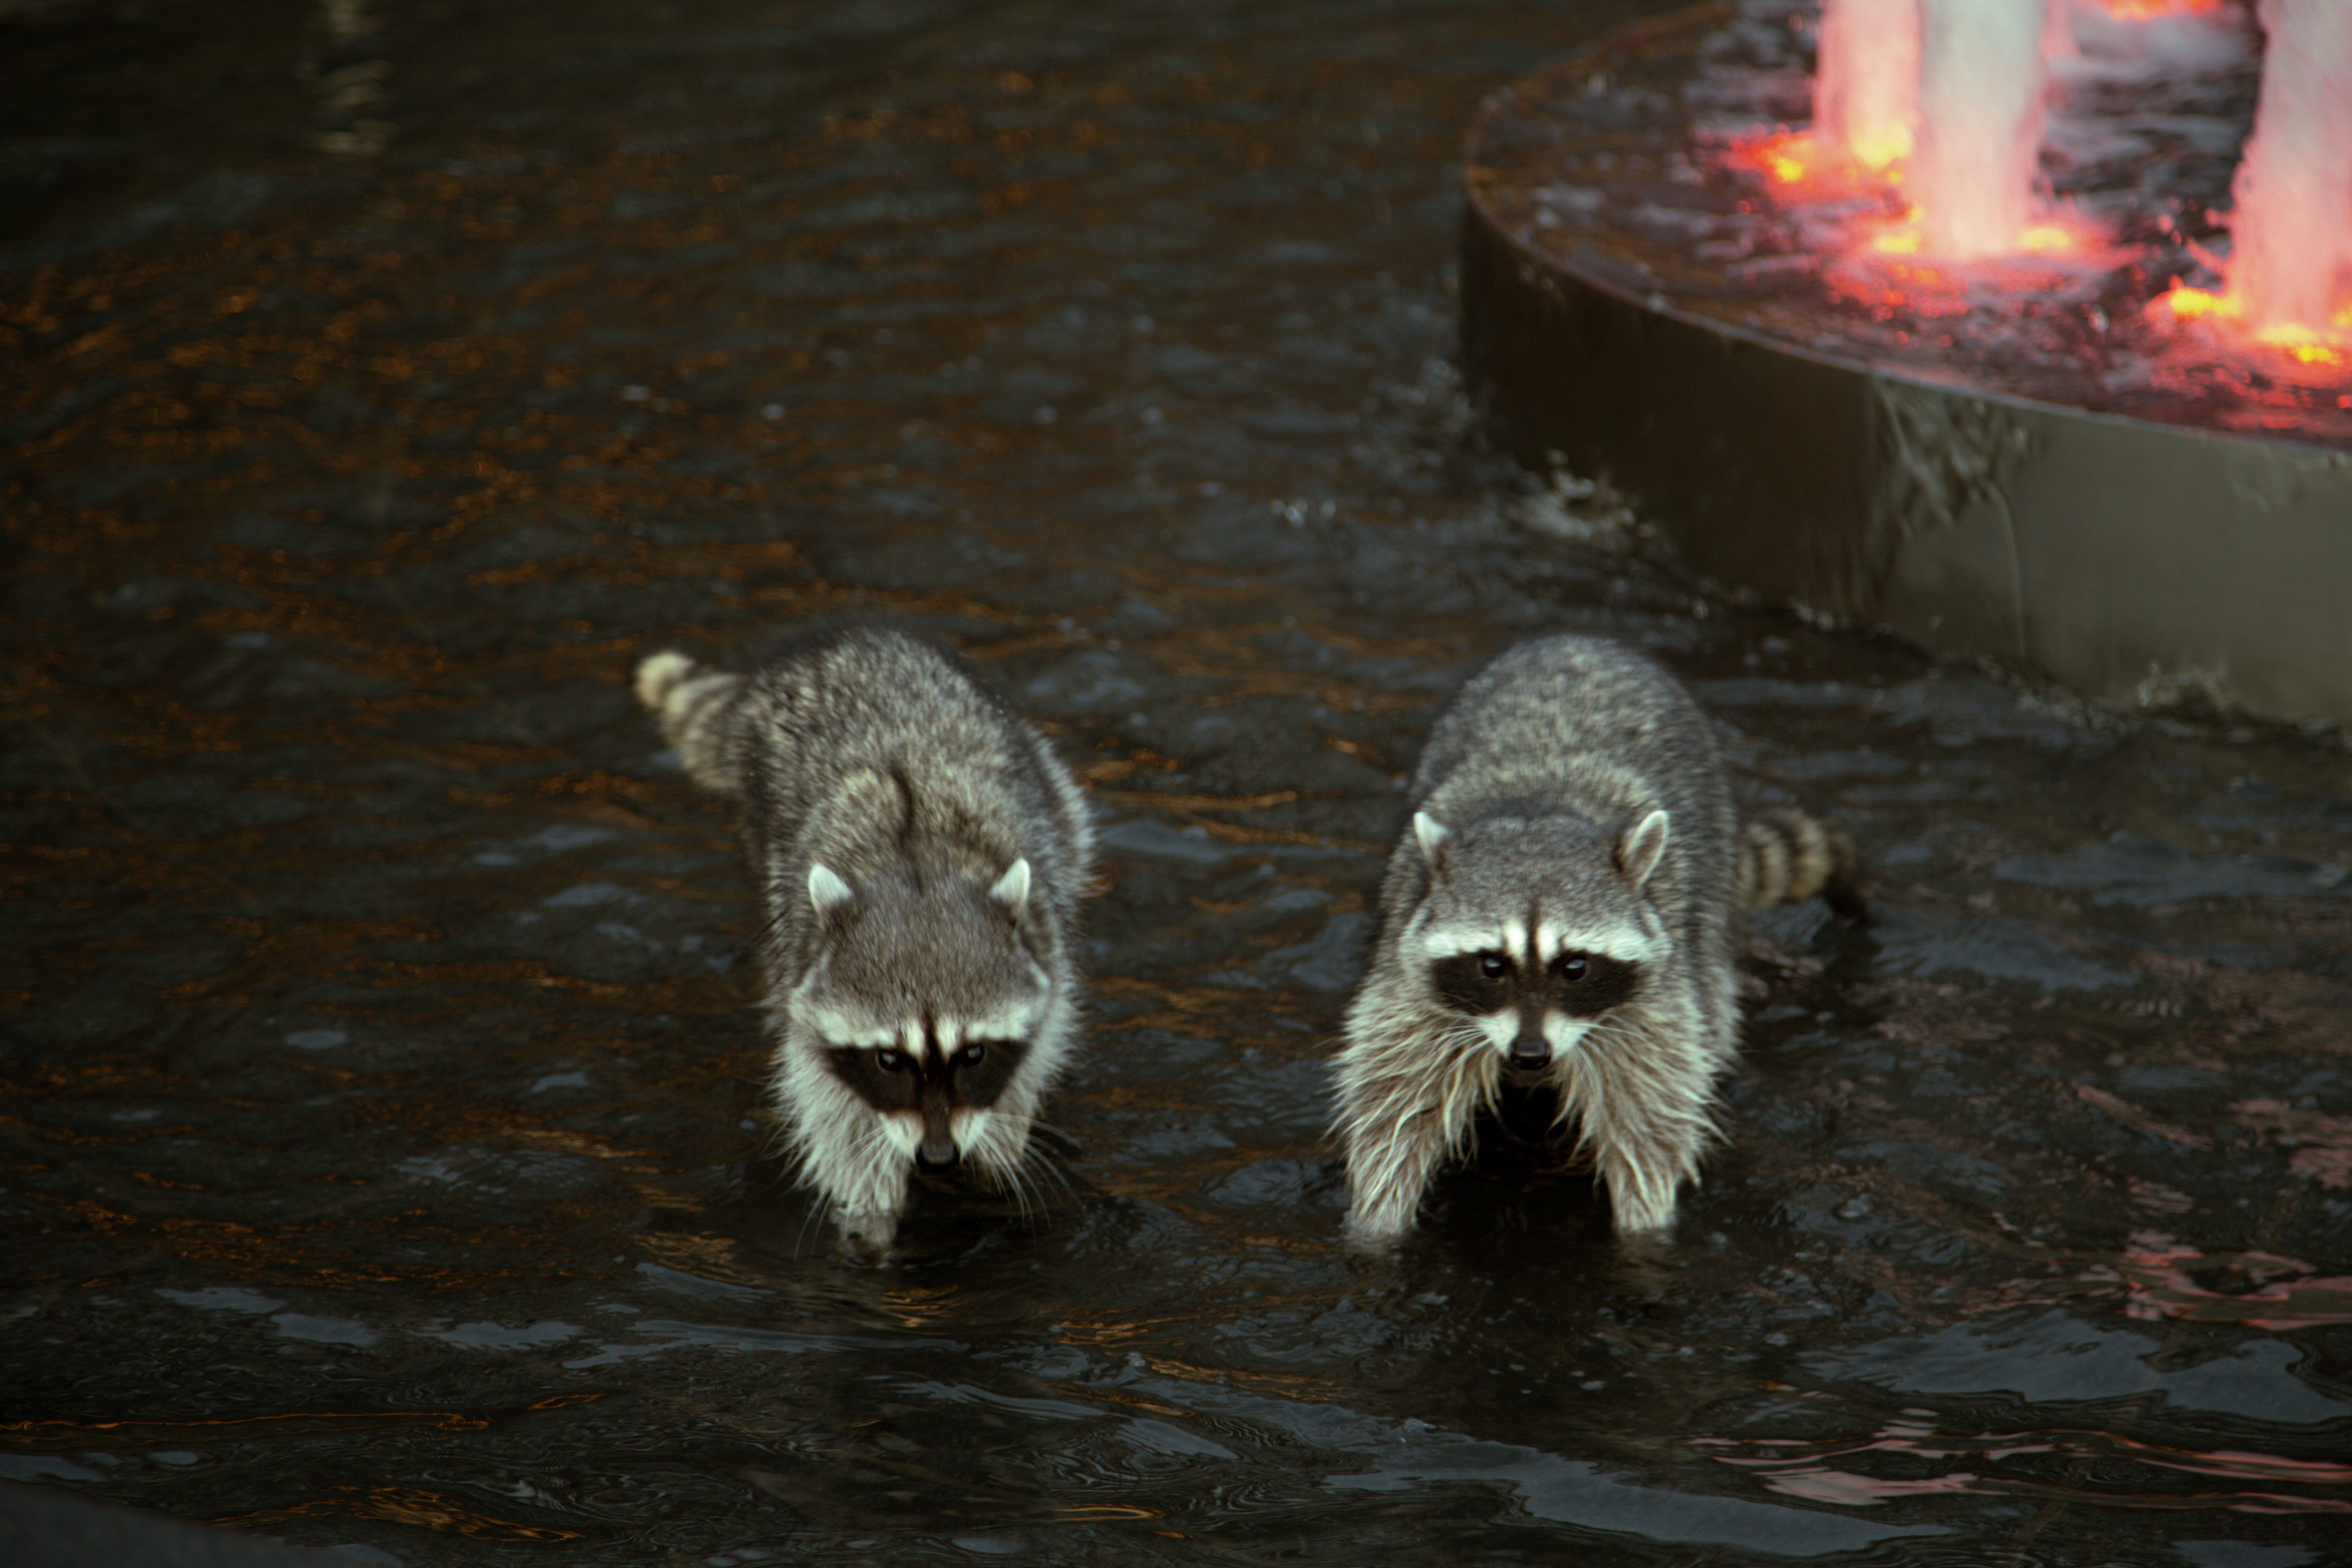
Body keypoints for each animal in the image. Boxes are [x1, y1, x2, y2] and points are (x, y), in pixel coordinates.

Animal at [635, 625, 1095, 1256]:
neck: (917, 867)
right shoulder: (802, 970)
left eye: (974, 1054)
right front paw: (869, 1215)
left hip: (1048, 783)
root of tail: (839, 649)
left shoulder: (1046, 941)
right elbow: (832, 1111)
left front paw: (1002, 1141)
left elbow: (1041, 1046)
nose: (938, 1157)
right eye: (889, 1060)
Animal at [1332, 632, 1861, 1244]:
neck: (1541, 816)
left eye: (1575, 967)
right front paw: (1376, 1225)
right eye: (1492, 966)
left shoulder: (1655, 997)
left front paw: (1645, 1230)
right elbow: (1394, 1103)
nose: (1530, 1055)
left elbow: (1650, 1115)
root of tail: (1578, 640)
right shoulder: (1410, 974)